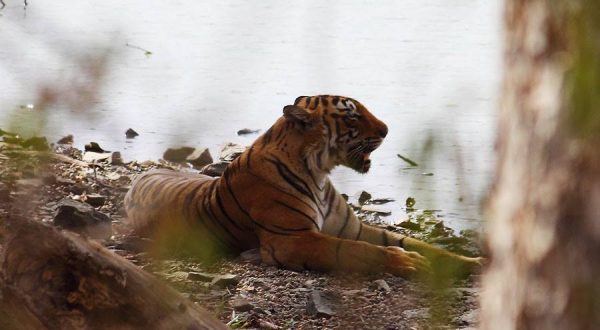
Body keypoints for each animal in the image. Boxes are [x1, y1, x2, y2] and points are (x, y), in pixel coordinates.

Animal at [125, 95, 482, 278]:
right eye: (352, 117)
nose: (386, 129)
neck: (320, 172)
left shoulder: (355, 227)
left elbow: (419, 243)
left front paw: (471, 263)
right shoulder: (292, 239)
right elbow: (357, 251)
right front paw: (407, 263)